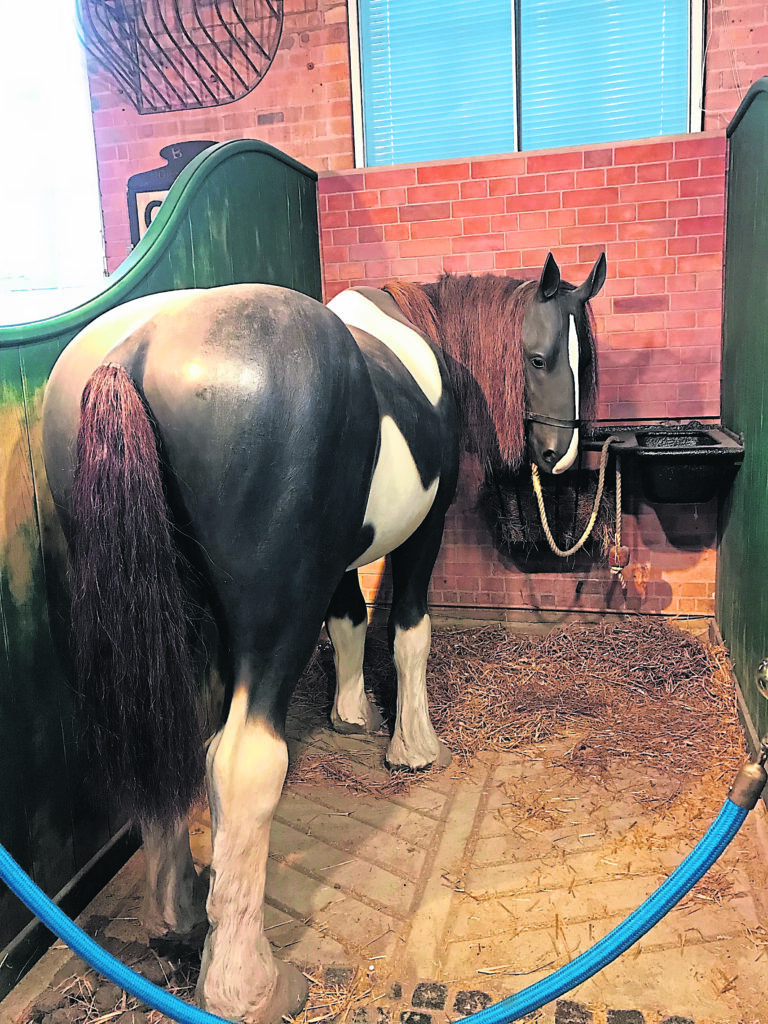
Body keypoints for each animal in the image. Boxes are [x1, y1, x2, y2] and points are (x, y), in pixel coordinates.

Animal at [41, 251, 606, 1023]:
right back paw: (247, 985)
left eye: (591, 359)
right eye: (543, 356)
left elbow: (350, 620)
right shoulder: (421, 535)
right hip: (276, 615)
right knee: (240, 762)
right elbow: (407, 630)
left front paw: (350, 713)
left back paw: (180, 916)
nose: (561, 455)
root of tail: (135, 350)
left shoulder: (336, 557)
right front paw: (412, 746)